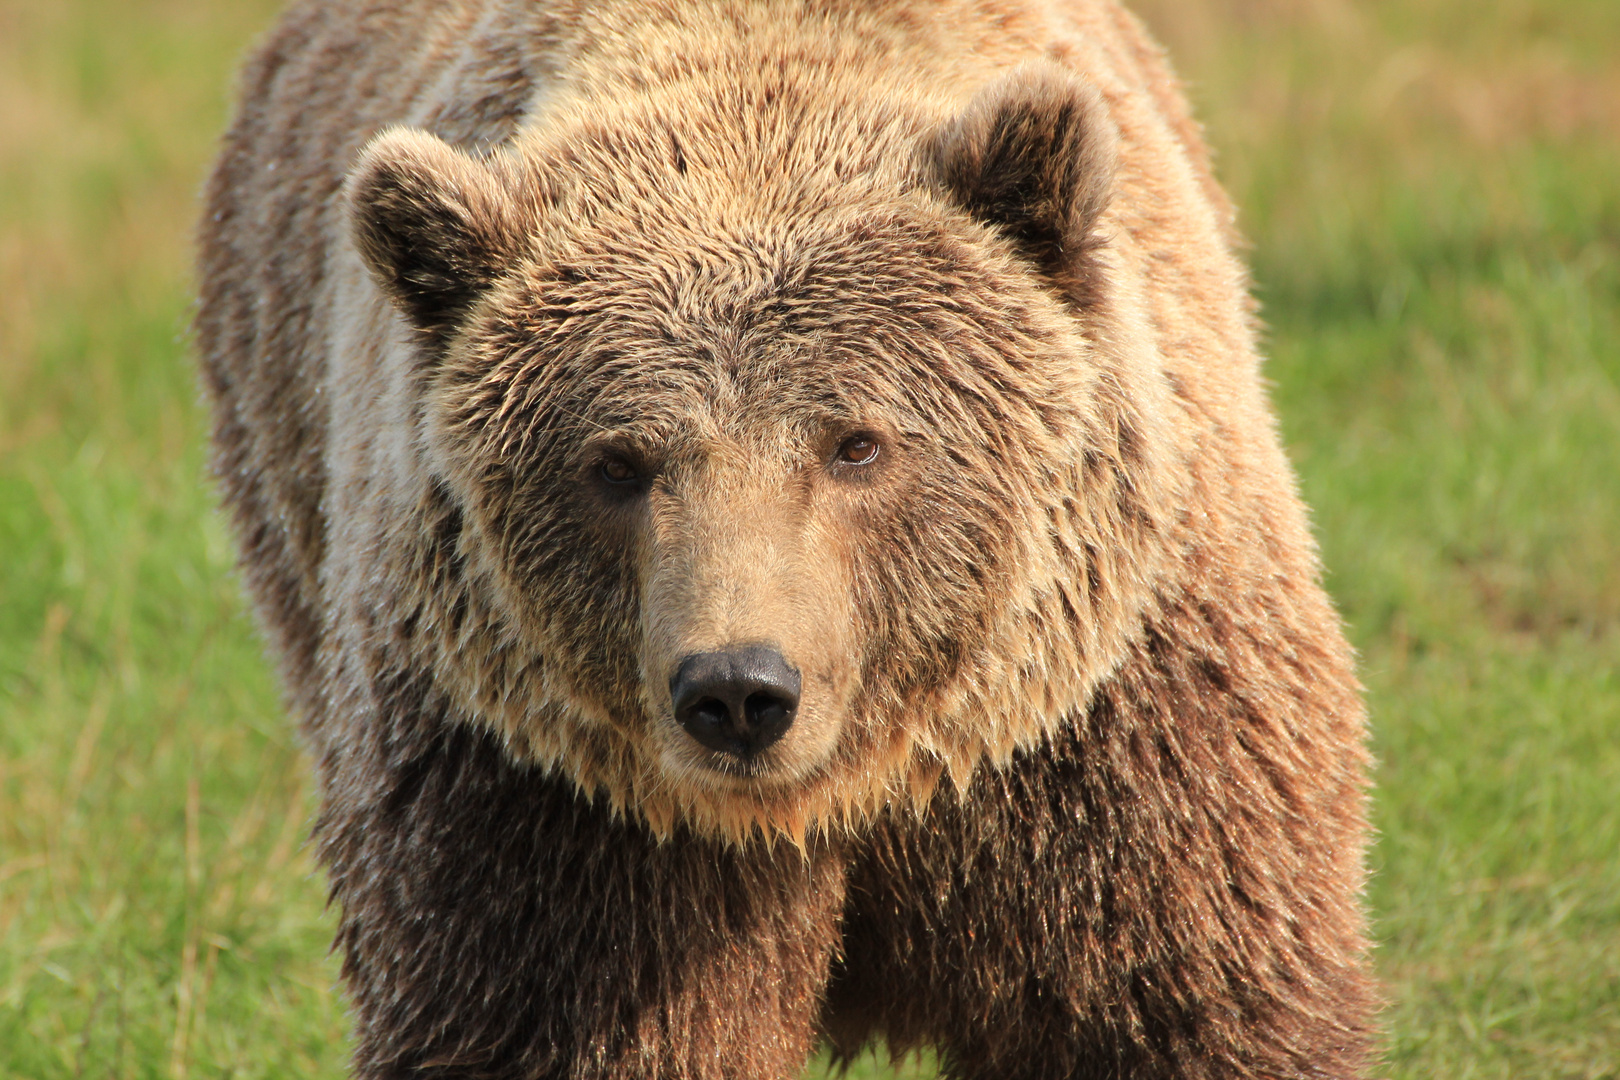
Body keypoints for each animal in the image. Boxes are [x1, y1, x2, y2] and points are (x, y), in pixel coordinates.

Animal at [196, 0, 1373, 1075]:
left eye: (857, 443)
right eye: (616, 463)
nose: (738, 690)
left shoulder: (1099, 736)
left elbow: (1180, 1002)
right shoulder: (552, 801)